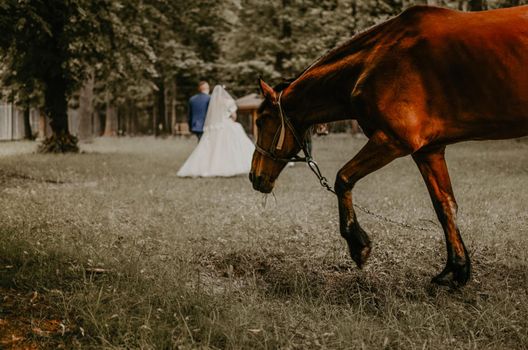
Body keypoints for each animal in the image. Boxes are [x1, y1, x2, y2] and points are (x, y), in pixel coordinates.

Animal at [249, 5, 528, 288]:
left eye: (261, 121)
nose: (254, 176)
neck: (373, 62)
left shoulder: (393, 140)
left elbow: (343, 179)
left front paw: (358, 245)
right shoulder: (428, 151)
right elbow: (445, 206)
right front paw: (456, 268)